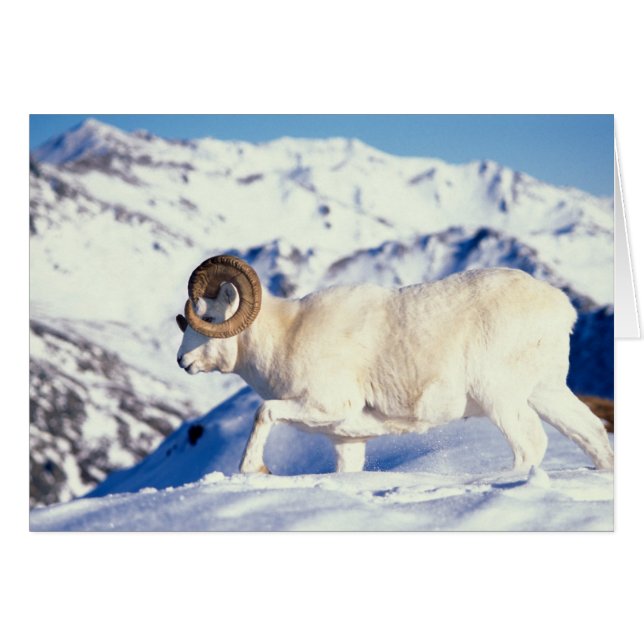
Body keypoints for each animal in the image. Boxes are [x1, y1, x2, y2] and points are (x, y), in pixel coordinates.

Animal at [176, 255, 614, 475]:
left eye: (209, 317)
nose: (183, 361)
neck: (287, 335)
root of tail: (559, 307)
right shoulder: (346, 441)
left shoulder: (323, 406)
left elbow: (263, 412)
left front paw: (252, 471)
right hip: (547, 392)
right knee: (591, 432)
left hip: (500, 399)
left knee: (530, 445)